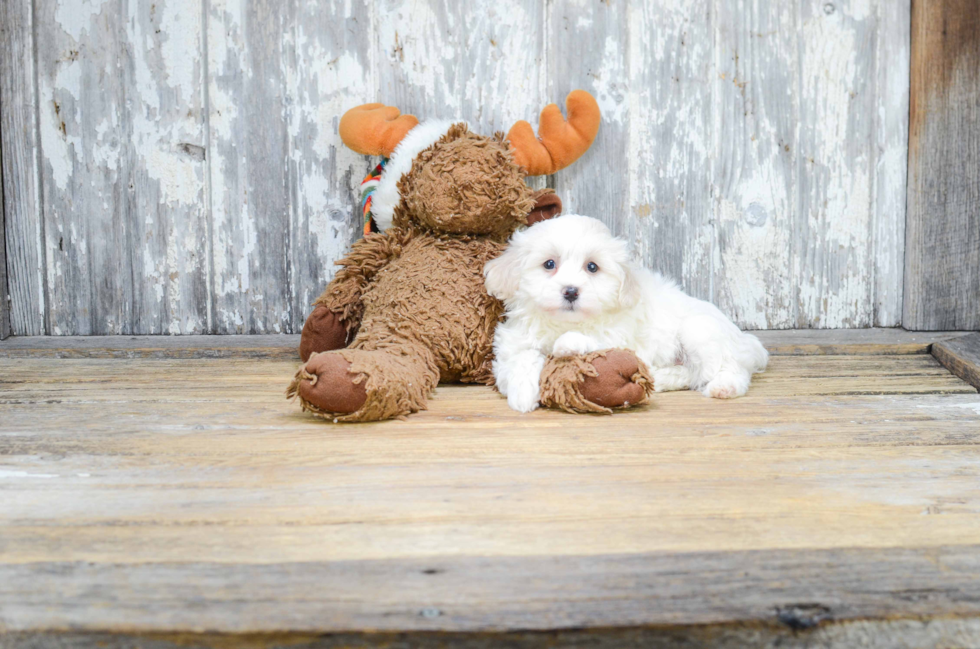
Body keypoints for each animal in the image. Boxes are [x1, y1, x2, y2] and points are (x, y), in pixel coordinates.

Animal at [486, 215, 768, 412]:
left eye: (592, 267)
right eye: (549, 264)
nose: (571, 291)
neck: (563, 322)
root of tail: (745, 340)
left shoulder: (618, 337)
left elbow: (595, 342)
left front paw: (567, 344)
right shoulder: (511, 346)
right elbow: (520, 359)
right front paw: (522, 394)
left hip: (701, 330)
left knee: (729, 368)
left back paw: (724, 387)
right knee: (690, 374)